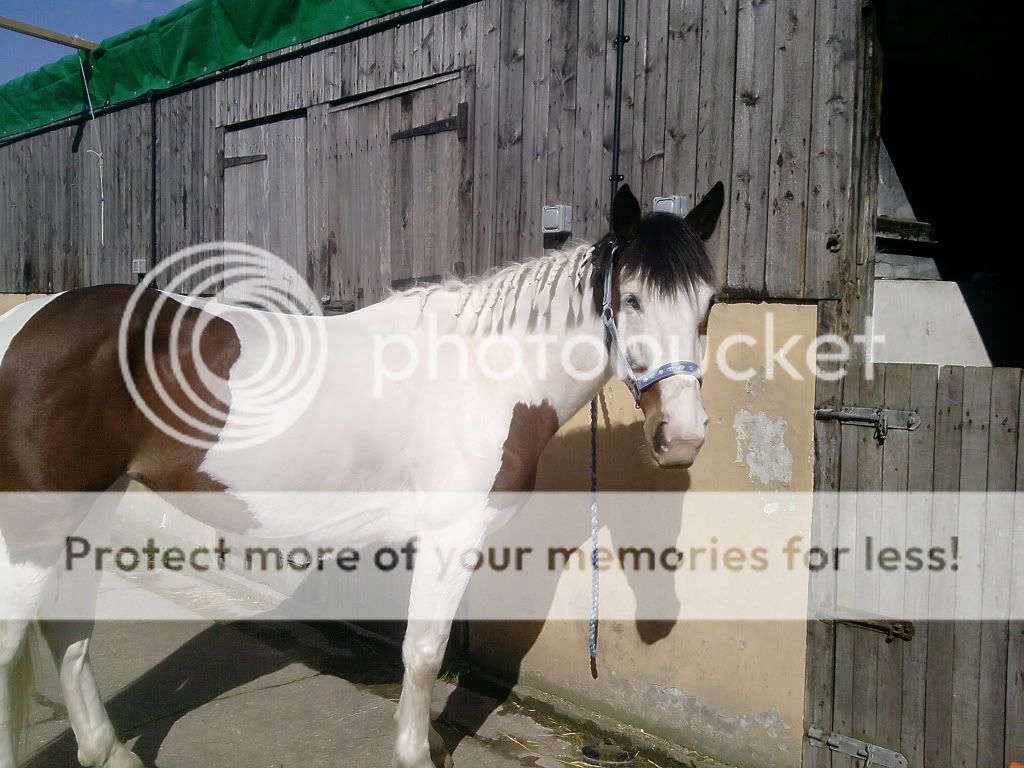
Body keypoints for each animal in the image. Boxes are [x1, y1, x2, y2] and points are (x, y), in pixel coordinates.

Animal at [0, 181, 723, 768]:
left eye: (709, 304)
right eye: (631, 298)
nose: (682, 437)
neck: (487, 376)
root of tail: (23, 321)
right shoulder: (449, 537)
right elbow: (424, 653)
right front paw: (413, 753)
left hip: (88, 512)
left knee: (67, 634)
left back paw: (109, 752)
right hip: (32, 534)